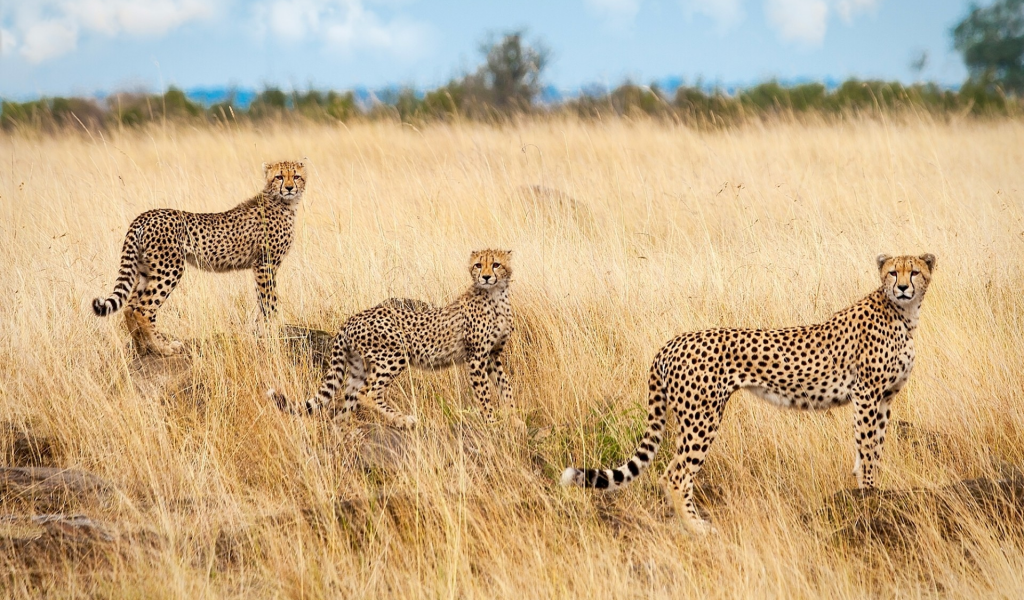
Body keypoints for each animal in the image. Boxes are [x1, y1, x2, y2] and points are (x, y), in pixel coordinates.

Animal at [91, 159, 303, 354]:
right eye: (280, 176)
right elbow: (270, 301)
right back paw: (163, 348)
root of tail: (146, 215)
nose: (290, 188)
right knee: (143, 310)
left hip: (146, 270)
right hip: (169, 269)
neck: (283, 203)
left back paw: (143, 349)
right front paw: (272, 330)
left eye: (296, 176)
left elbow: (262, 300)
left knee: (130, 307)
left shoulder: (260, 267)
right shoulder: (265, 265)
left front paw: (262, 330)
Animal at [270, 248, 512, 430]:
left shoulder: (492, 355)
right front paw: (491, 422)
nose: (486, 277)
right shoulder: (476, 357)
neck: (496, 295)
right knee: (368, 393)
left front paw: (513, 418)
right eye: (478, 265)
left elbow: (505, 385)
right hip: (394, 355)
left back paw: (344, 431)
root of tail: (351, 318)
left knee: (346, 404)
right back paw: (404, 420)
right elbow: (484, 392)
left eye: (496, 264)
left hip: (358, 367)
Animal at [561, 251, 937, 532]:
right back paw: (697, 529)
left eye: (915, 272)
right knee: (675, 475)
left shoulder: (884, 398)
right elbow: (870, 447)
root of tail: (672, 341)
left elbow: (870, 448)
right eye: (893, 272)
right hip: (702, 418)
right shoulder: (868, 395)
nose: (904, 288)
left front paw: (866, 490)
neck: (903, 314)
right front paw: (870, 495)